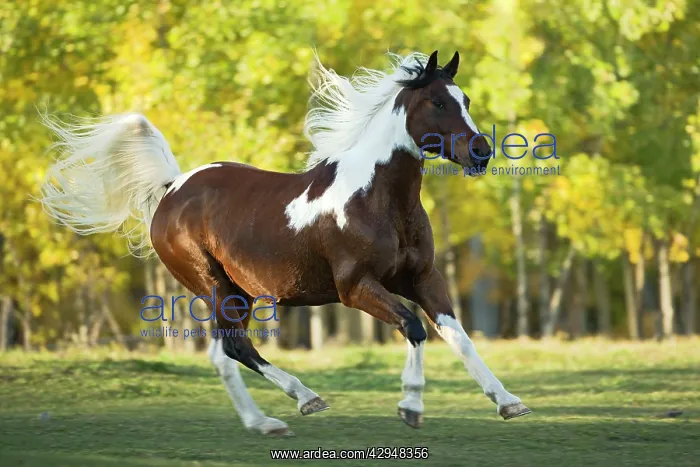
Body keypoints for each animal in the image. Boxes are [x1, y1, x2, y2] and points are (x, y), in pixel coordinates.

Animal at [40, 49, 531, 437]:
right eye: (437, 101)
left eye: (466, 100)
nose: (481, 152)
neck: (378, 199)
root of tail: (174, 187)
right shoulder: (355, 288)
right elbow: (412, 326)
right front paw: (410, 407)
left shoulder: (422, 278)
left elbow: (458, 336)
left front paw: (509, 402)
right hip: (212, 286)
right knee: (234, 351)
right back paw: (288, 409)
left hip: (238, 292)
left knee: (228, 352)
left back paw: (281, 412)